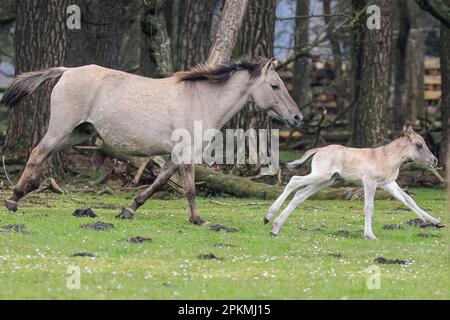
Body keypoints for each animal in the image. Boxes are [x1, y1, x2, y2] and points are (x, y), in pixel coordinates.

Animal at [1, 56, 302, 224]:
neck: (201, 99)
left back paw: (28, 190)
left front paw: (129, 209)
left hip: (77, 132)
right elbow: (189, 189)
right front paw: (197, 219)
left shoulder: (175, 156)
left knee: (45, 155)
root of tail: (67, 70)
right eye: (275, 86)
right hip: (61, 128)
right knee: (38, 153)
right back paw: (14, 199)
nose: (297, 117)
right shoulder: (187, 153)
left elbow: (158, 183)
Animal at [264, 125, 442, 240]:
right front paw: (370, 235)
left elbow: (409, 200)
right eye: (419, 145)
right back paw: (268, 216)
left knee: (300, 195)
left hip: (326, 181)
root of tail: (318, 150)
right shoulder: (369, 182)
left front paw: (435, 222)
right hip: (321, 175)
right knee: (294, 181)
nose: (434, 160)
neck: (388, 158)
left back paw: (275, 228)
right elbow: (369, 206)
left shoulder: (388, 183)